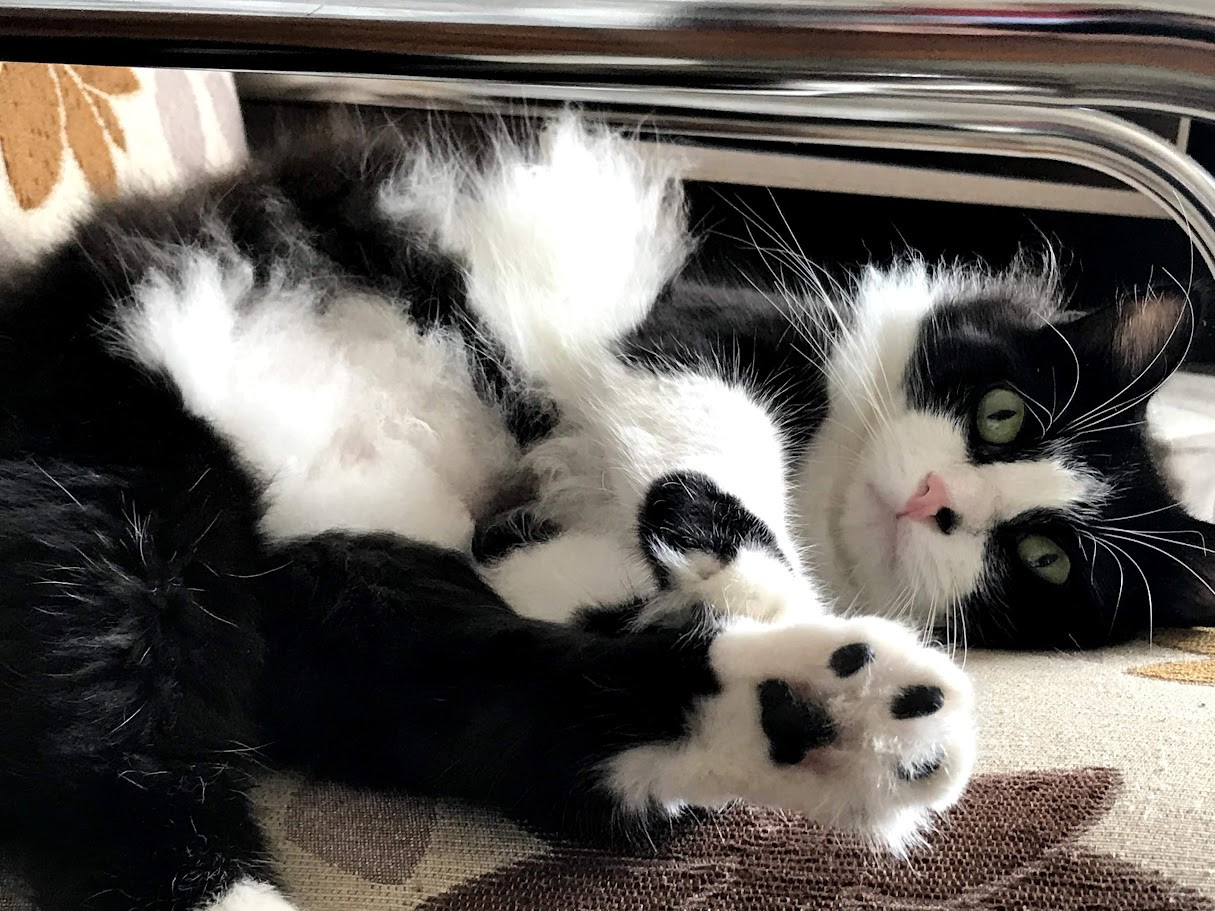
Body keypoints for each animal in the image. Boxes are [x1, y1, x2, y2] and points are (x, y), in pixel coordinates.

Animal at [0, 116, 1210, 911]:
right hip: (111, 515)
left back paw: (834, 716)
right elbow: (719, 441)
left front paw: (702, 583)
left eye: (1043, 558)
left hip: (340, 596)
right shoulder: (697, 330)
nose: (937, 500)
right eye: (1003, 414)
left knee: (522, 716)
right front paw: (745, 570)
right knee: (114, 773)